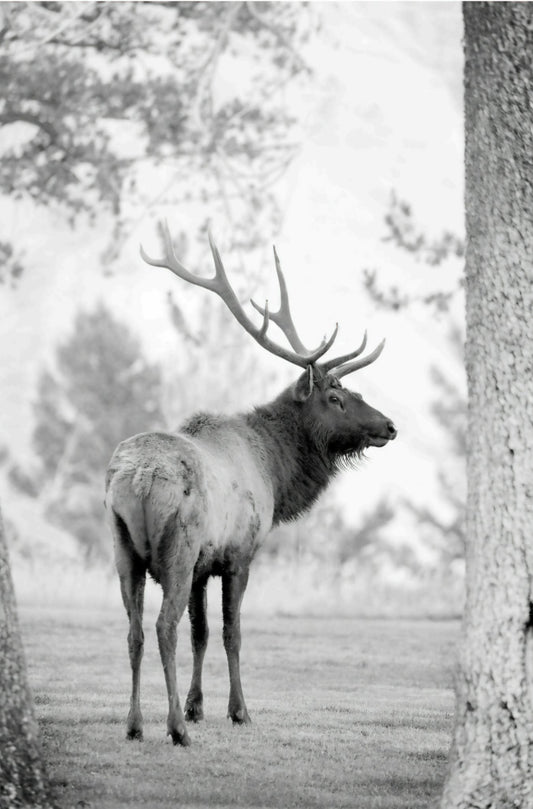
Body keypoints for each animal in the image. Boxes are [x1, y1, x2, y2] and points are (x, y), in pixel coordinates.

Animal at [105, 223, 397, 747]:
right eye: (335, 396)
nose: (389, 426)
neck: (276, 475)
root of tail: (136, 481)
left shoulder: (204, 565)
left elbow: (202, 633)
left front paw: (199, 705)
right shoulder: (238, 554)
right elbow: (231, 633)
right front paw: (236, 710)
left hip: (123, 548)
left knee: (134, 629)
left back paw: (136, 724)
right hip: (177, 547)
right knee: (162, 627)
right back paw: (175, 728)